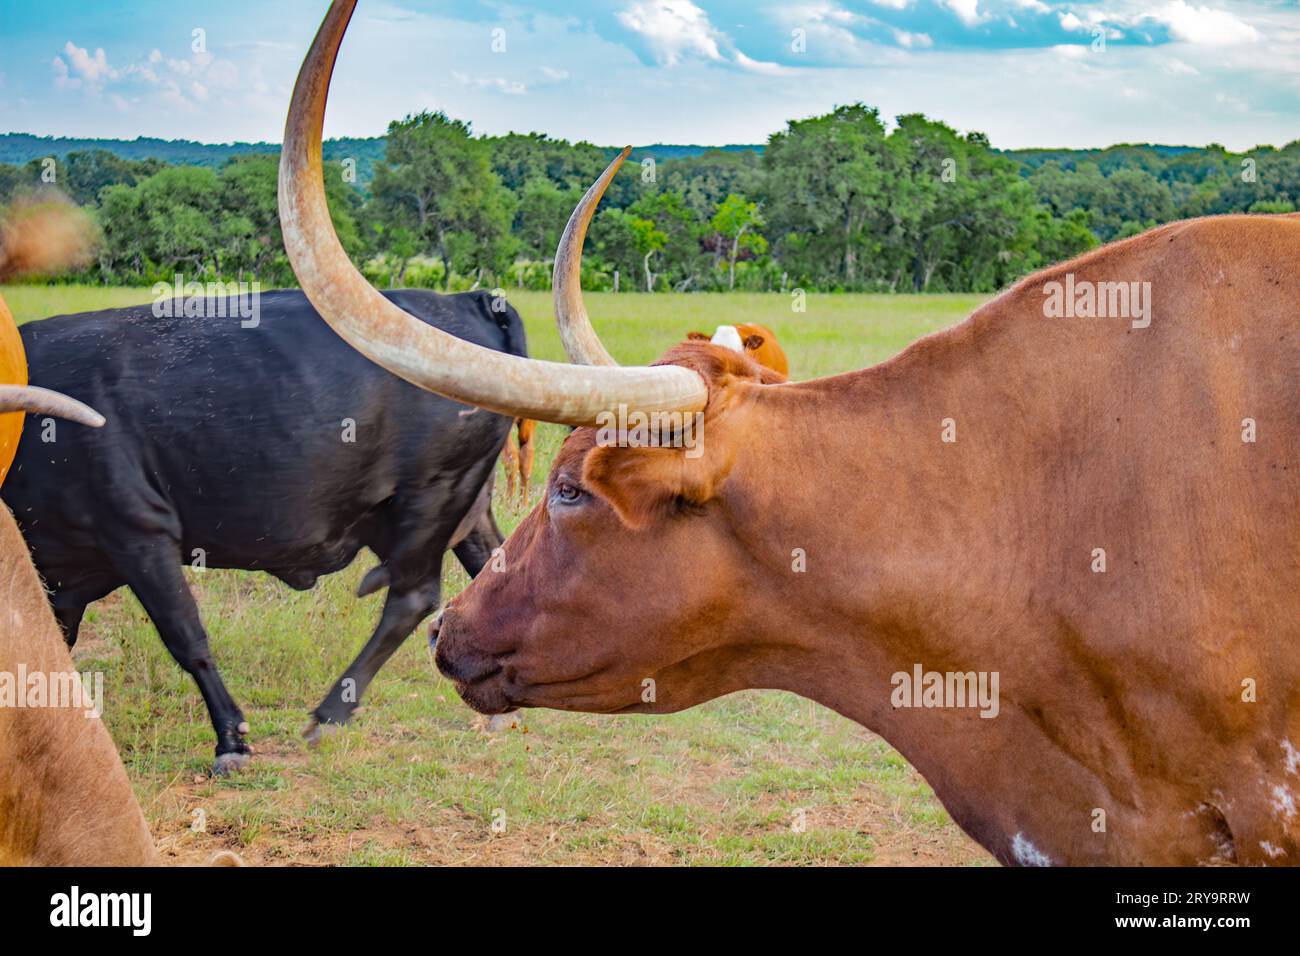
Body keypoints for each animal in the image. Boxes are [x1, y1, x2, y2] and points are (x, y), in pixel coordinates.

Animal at [6, 286, 524, 775]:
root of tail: (466, 302)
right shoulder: (60, 573)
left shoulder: (139, 534)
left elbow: (187, 637)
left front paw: (231, 741)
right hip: (464, 505)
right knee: (493, 570)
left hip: (430, 497)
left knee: (412, 598)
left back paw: (331, 714)